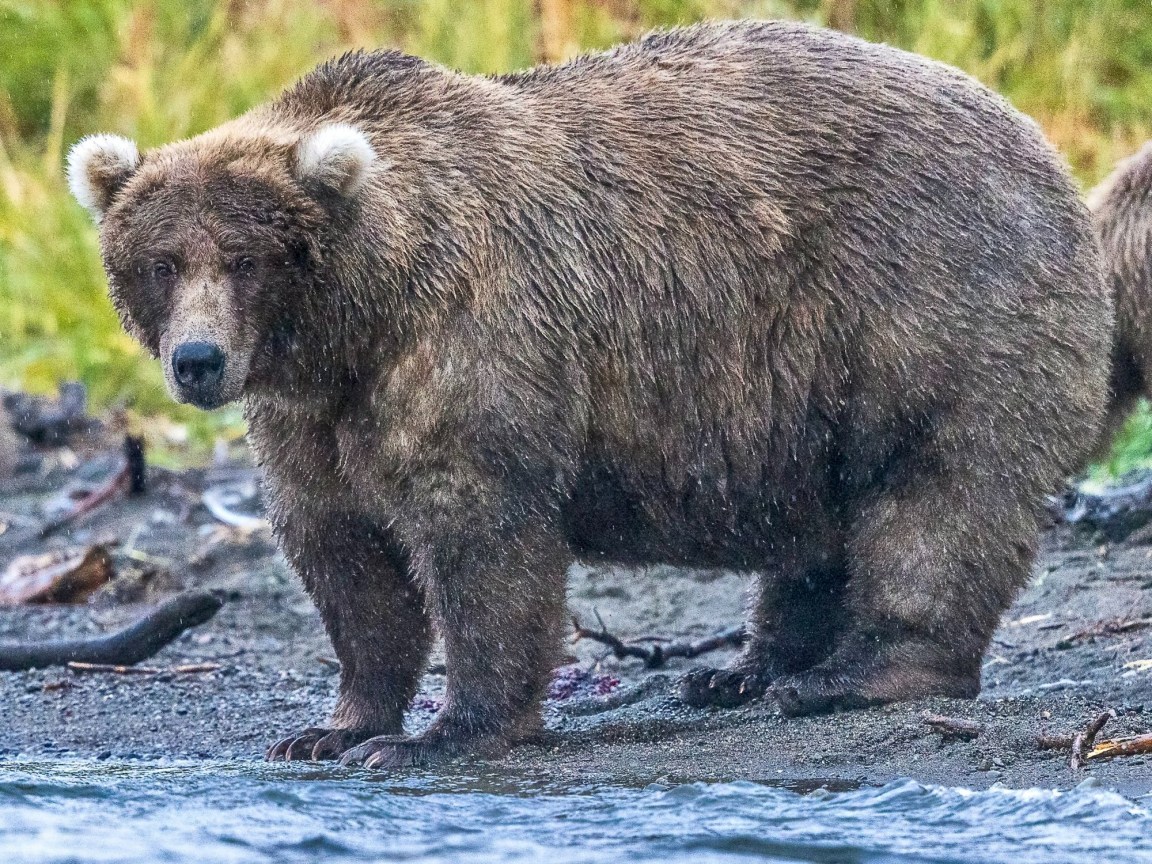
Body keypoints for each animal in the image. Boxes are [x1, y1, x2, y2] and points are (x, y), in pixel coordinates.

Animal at [67, 20, 1110, 768]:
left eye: (245, 259)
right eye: (161, 261)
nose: (199, 360)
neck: (357, 322)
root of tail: (1044, 147)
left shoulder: (474, 342)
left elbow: (481, 540)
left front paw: (442, 733)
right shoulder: (309, 416)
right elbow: (344, 554)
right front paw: (333, 726)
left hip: (929, 303)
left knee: (934, 495)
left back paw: (851, 673)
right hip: (810, 388)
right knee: (825, 521)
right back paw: (746, 671)